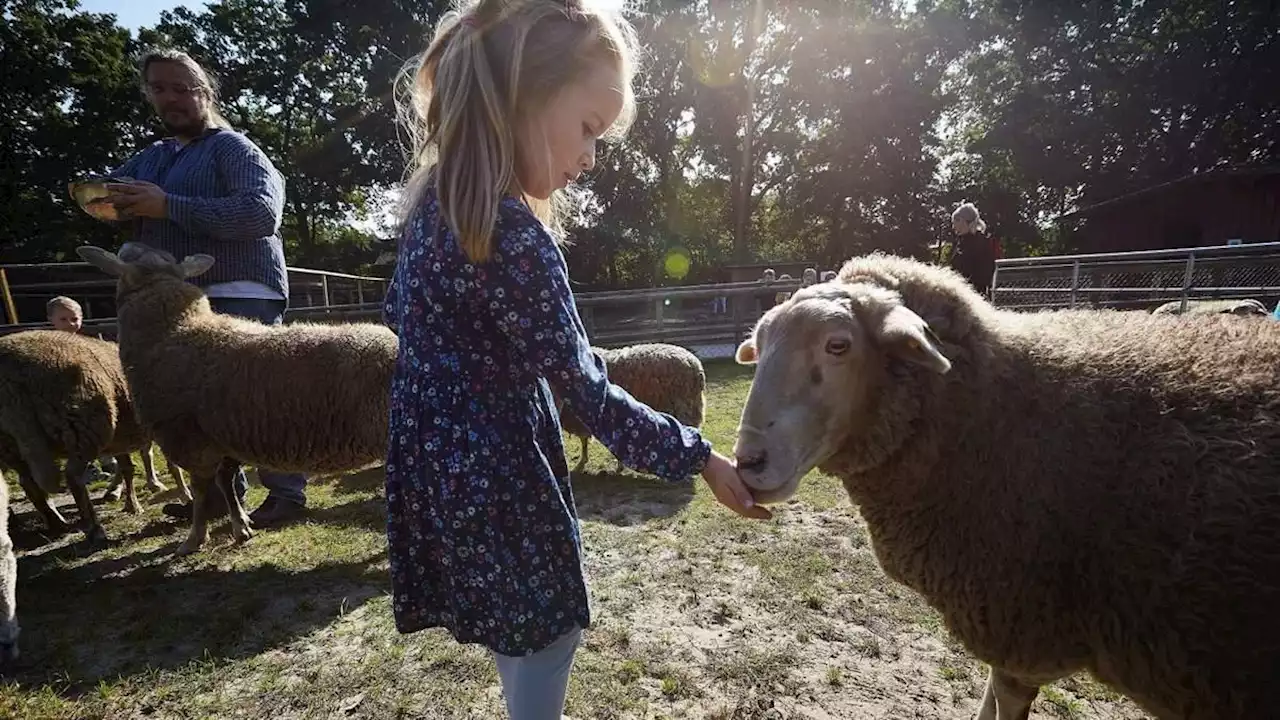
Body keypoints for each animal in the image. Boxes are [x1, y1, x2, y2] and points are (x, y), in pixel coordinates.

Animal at [0, 327, 157, 540]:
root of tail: (12, 383)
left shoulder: (119, 439)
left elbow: (127, 468)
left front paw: (130, 504)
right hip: (83, 427)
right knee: (73, 477)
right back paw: (94, 528)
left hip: (11, 444)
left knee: (30, 484)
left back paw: (57, 524)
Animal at [77, 240, 396, 556]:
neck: (174, 330)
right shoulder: (224, 438)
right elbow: (226, 482)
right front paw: (241, 526)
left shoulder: (192, 441)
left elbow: (202, 492)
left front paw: (194, 538)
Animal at [732, 251, 1280, 717]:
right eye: (760, 348)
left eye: (838, 345)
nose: (747, 461)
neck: (987, 419)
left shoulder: (1023, 630)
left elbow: (1002, 697)